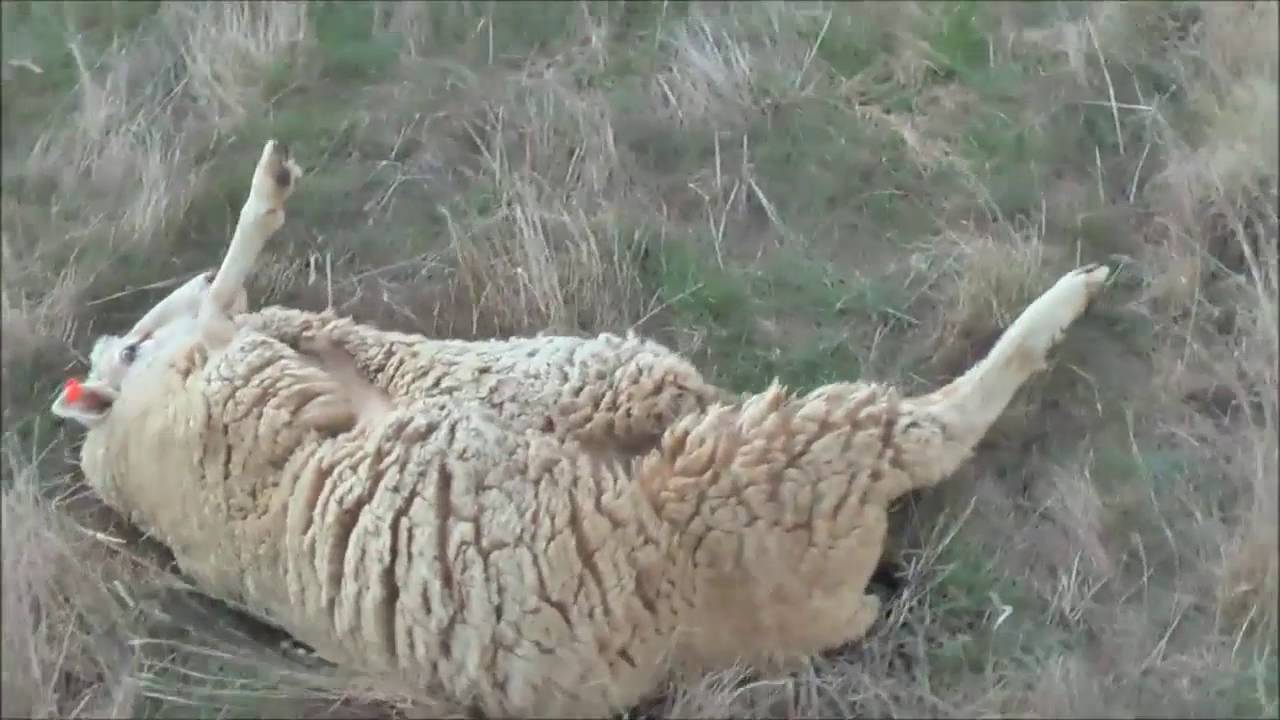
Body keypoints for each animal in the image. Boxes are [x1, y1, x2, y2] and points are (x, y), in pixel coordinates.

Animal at [52, 141, 1113, 717]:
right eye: (129, 347)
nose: (128, 347)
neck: (132, 448)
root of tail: (834, 603)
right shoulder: (220, 377)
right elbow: (225, 288)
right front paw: (264, 197)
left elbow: (222, 294)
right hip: (764, 465)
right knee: (935, 430)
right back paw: (1063, 300)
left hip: (629, 387)